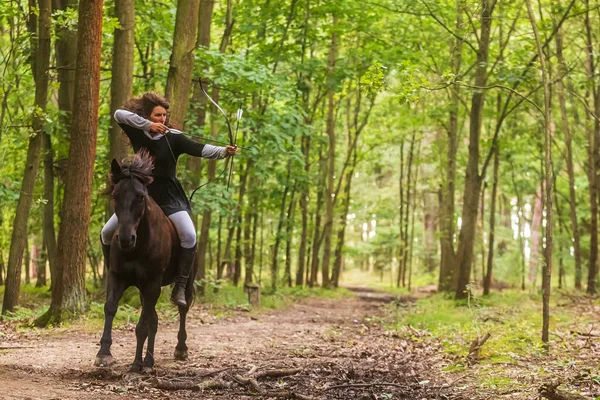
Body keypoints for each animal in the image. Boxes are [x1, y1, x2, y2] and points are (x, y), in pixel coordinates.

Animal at [95, 153, 196, 372]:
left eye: (141, 196)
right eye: (115, 195)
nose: (125, 239)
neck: (138, 247)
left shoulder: (152, 284)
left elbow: (142, 325)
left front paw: (136, 364)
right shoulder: (118, 277)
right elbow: (110, 308)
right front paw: (104, 353)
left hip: (186, 281)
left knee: (183, 308)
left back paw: (180, 349)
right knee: (154, 320)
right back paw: (149, 360)